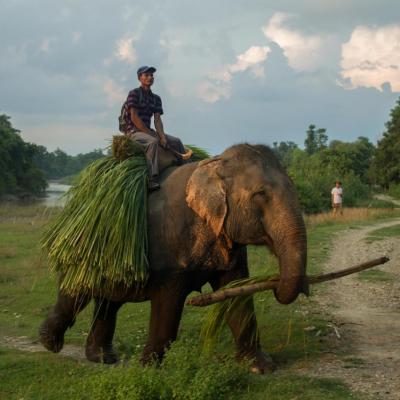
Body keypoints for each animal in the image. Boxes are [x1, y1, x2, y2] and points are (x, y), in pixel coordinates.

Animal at [39, 142, 308, 374]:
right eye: (261, 194)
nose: (303, 285)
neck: (213, 165)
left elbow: (237, 292)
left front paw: (261, 367)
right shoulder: (169, 254)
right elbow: (168, 303)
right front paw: (148, 368)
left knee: (109, 302)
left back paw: (103, 358)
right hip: (82, 248)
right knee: (75, 293)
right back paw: (49, 343)